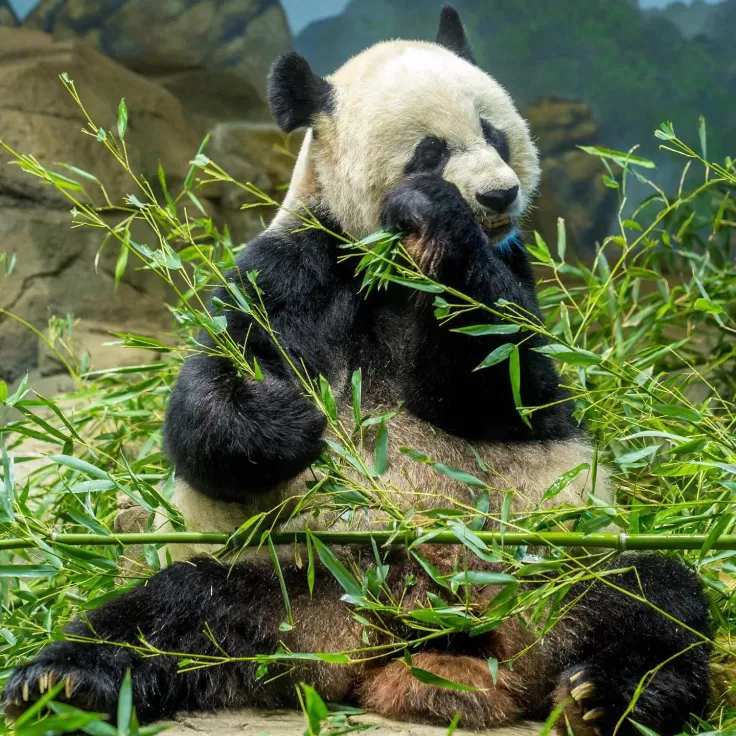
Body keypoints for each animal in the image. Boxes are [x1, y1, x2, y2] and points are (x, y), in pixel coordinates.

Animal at [3, 6, 711, 736]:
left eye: (495, 133)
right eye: (431, 149)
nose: (499, 194)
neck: (389, 259)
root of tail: (430, 643)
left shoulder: (510, 269)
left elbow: (511, 384)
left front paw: (440, 221)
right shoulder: (294, 264)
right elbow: (208, 406)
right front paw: (287, 420)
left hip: (543, 564)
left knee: (648, 594)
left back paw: (610, 694)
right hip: (297, 581)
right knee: (168, 613)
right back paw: (62, 681)